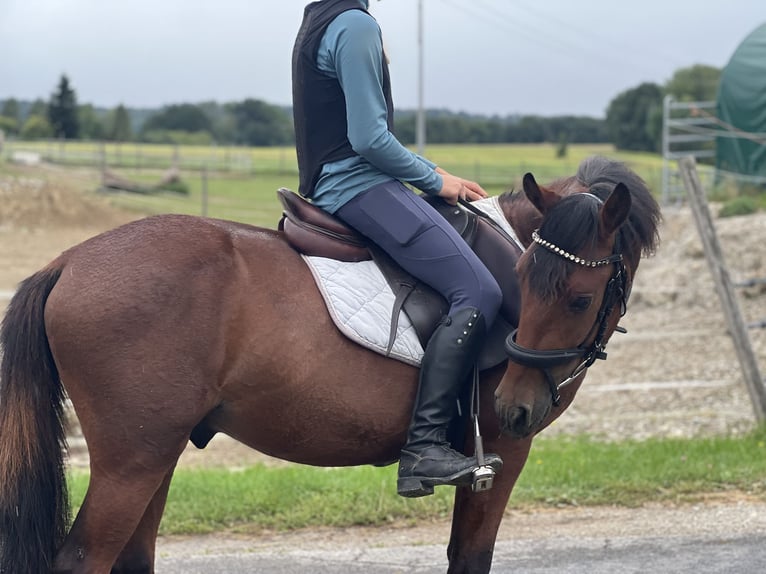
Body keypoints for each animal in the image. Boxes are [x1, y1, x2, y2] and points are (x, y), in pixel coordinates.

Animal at [0, 156, 660, 574]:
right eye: (524, 281)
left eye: (577, 298)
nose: (516, 406)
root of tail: (68, 261)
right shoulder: (501, 451)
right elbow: (470, 557)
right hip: (132, 464)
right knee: (84, 560)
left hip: (155, 455)